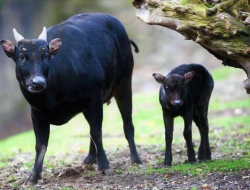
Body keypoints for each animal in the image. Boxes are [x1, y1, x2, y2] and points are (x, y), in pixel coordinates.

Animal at [0, 13, 142, 186]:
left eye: (46, 56)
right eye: (21, 56)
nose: (38, 82)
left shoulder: (94, 97)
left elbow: (96, 132)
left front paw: (104, 166)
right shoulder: (36, 113)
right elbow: (40, 145)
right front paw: (33, 177)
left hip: (124, 82)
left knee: (127, 123)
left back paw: (135, 159)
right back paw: (90, 158)